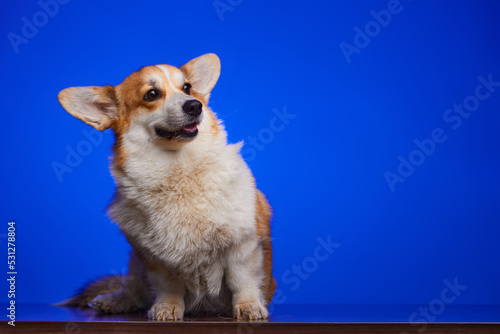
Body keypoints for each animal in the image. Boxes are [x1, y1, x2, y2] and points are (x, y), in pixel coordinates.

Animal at [59, 53, 278, 320]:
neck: (179, 169)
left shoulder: (243, 245)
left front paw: (248, 306)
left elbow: (242, 280)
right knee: (134, 290)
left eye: (187, 88)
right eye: (151, 94)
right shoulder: (156, 257)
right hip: (135, 262)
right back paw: (111, 301)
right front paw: (167, 307)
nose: (195, 105)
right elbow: (169, 286)